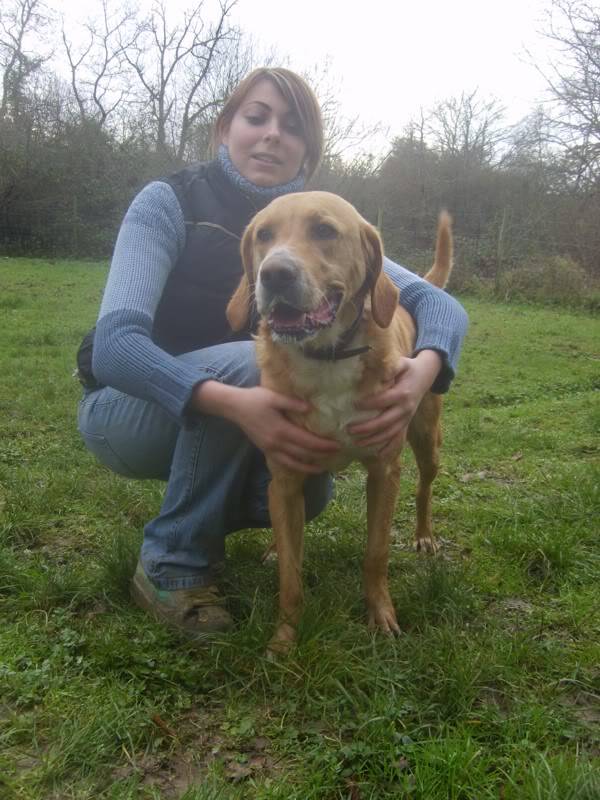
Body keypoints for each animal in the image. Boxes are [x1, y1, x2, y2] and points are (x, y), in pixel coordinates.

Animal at [227, 195, 452, 656]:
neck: (325, 358)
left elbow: (376, 553)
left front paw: (380, 615)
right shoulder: (286, 475)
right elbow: (291, 576)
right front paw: (284, 639)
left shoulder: (384, 471)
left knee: (425, 486)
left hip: (427, 439)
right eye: (263, 235)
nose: (274, 273)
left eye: (325, 231)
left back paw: (423, 535)